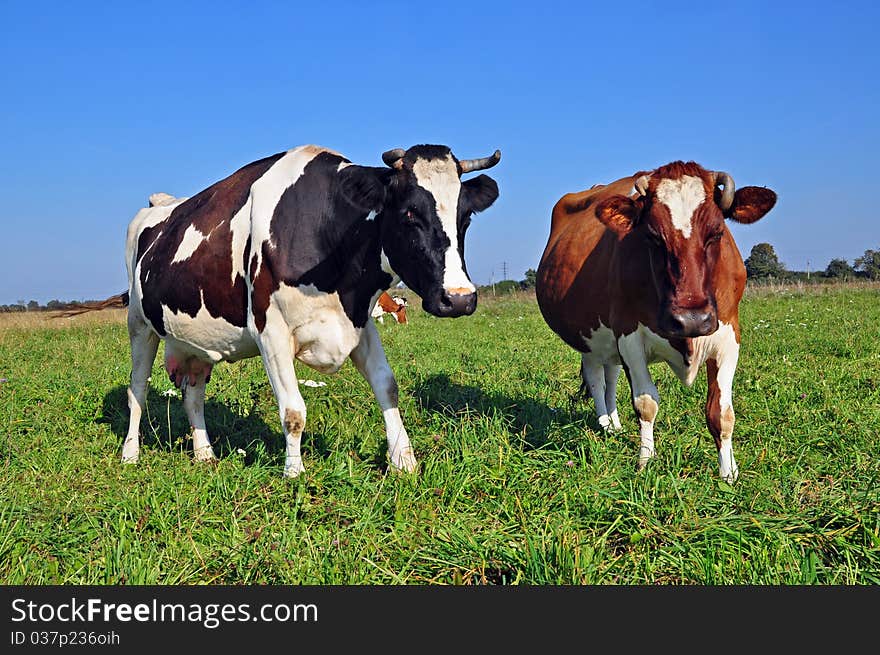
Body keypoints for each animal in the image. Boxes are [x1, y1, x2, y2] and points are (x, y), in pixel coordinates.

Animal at [124, 144, 502, 476]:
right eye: (409, 213)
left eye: (465, 216)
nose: (459, 299)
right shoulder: (270, 331)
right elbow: (294, 411)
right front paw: (294, 473)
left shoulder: (358, 321)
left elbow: (387, 386)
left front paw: (403, 462)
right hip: (139, 324)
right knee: (137, 390)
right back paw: (130, 454)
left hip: (198, 342)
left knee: (193, 394)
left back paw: (205, 454)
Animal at [536, 161, 776, 482]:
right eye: (652, 236)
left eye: (717, 233)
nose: (691, 319)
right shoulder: (629, 336)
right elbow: (646, 403)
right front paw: (645, 461)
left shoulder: (728, 336)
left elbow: (721, 413)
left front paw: (729, 472)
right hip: (590, 339)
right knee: (596, 378)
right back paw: (604, 423)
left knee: (610, 375)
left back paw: (614, 425)